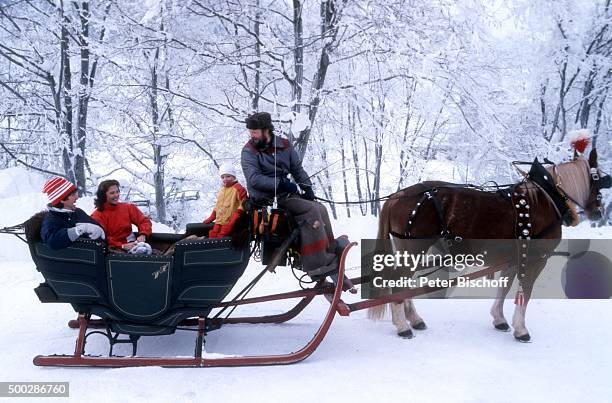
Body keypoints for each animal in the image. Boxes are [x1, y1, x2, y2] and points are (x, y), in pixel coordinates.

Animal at [368, 150, 608, 342]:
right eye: (597, 179)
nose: (599, 212)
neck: (546, 199)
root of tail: (398, 195)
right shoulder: (536, 259)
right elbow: (525, 292)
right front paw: (521, 329)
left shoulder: (514, 257)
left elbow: (504, 287)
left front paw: (499, 319)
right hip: (414, 248)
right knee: (398, 281)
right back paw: (402, 326)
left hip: (407, 248)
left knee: (404, 281)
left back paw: (414, 319)